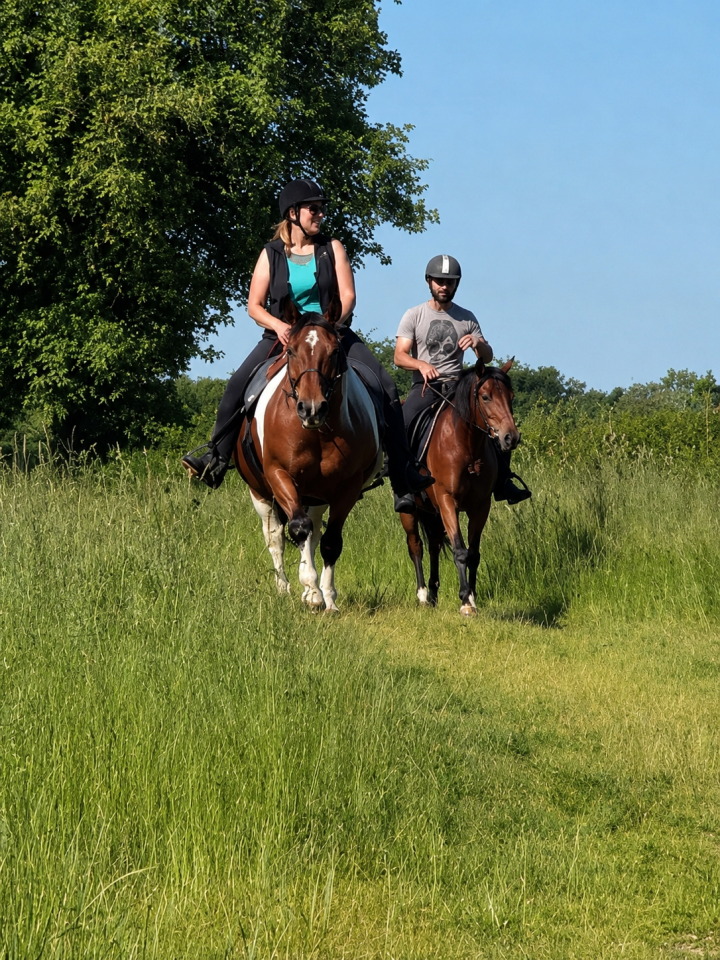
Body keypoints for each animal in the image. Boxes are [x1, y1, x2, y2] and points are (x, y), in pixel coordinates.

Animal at [234, 297, 382, 611]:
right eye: (290, 350)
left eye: (335, 350)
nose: (311, 408)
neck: (317, 433)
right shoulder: (279, 475)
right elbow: (297, 528)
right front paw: (311, 591)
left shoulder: (347, 487)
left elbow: (330, 541)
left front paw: (327, 596)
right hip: (260, 493)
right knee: (276, 537)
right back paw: (285, 588)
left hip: (316, 497)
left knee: (312, 535)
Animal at [398, 360, 520, 616]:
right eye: (485, 397)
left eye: (511, 396)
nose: (510, 438)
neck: (467, 446)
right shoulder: (447, 501)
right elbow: (460, 551)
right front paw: (465, 601)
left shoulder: (480, 507)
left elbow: (473, 553)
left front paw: (472, 597)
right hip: (411, 511)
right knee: (416, 546)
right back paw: (422, 595)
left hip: (432, 512)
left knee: (434, 545)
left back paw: (433, 594)